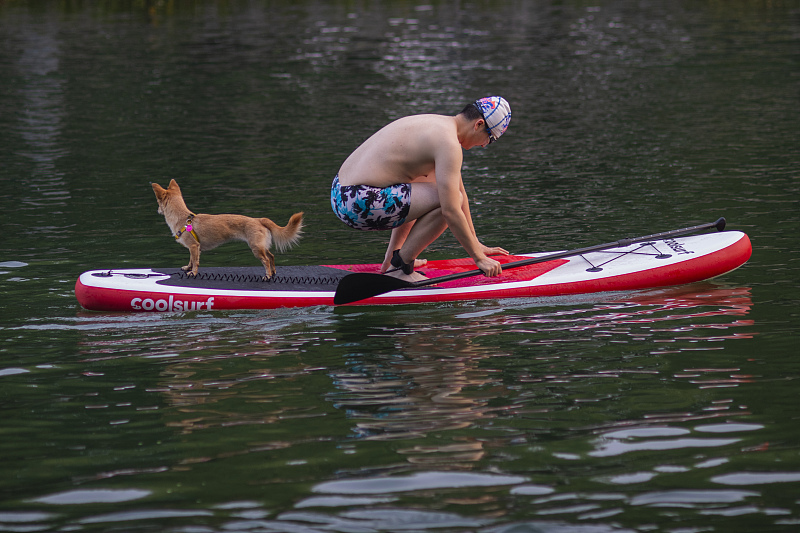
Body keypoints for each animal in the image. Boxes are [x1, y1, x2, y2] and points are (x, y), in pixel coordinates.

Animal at [151, 179, 304, 278]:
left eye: (158, 203)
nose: (157, 210)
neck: (183, 218)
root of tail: (259, 219)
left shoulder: (194, 246)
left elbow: (195, 261)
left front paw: (193, 272)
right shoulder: (193, 247)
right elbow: (191, 259)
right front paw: (187, 267)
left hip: (256, 247)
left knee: (266, 260)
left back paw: (267, 275)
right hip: (262, 245)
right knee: (271, 256)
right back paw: (273, 272)